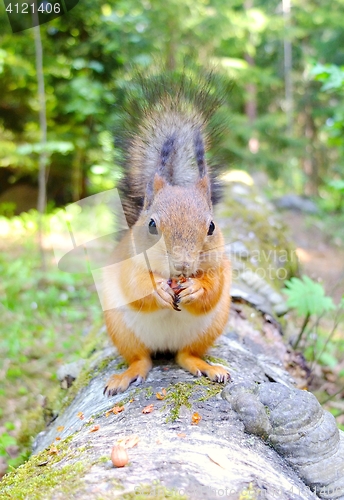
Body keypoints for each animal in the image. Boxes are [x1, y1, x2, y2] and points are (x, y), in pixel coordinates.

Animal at [102, 72, 231, 396]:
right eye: (151, 225)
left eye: (211, 227)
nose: (182, 266)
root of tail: (164, 347)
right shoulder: (128, 261)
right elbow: (135, 285)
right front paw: (157, 288)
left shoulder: (220, 264)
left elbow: (214, 288)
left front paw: (196, 288)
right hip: (122, 331)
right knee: (141, 359)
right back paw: (127, 375)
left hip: (208, 329)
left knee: (186, 355)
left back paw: (206, 367)